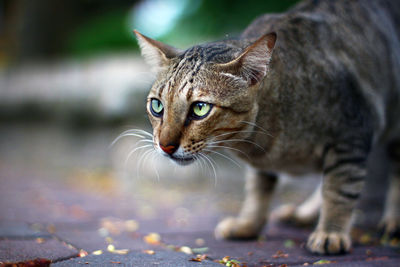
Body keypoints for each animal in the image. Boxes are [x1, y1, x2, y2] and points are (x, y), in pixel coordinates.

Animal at [134, 0, 400, 255]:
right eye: (157, 106)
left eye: (200, 108)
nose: (165, 146)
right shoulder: (262, 163)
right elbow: (258, 190)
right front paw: (248, 224)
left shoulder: (352, 135)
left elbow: (339, 190)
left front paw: (330, 232)